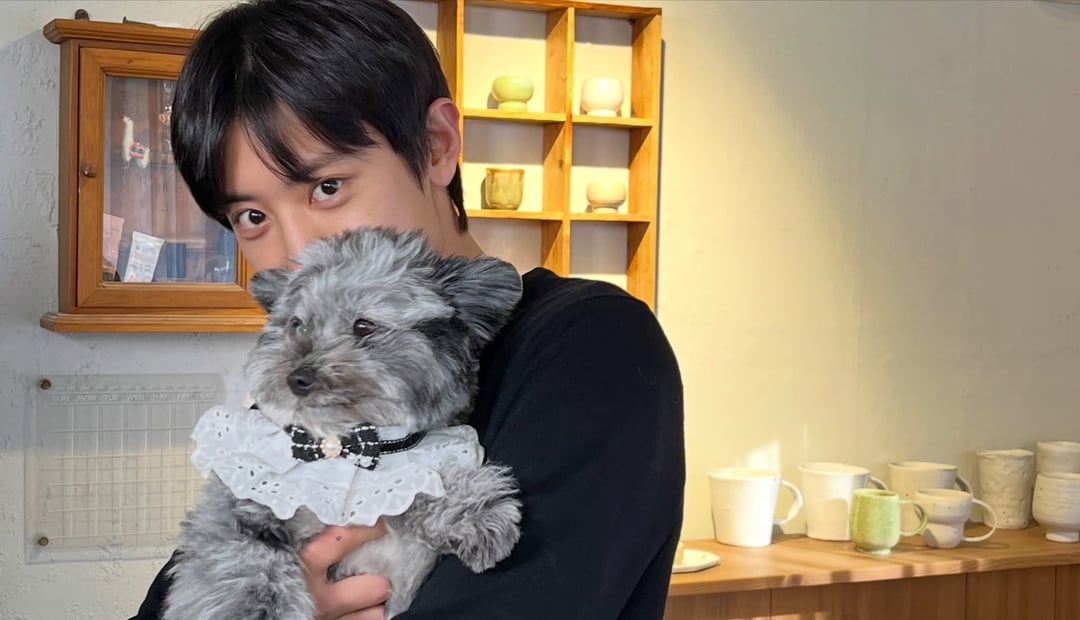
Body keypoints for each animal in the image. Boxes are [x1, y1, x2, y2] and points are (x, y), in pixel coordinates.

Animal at [163, 226, 525, 619]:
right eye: (296, 324)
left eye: (363, 325)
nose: (297, 378)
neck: (342, 444)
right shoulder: (237, 508)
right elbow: (244, 562)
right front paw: (255, 608)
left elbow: (436, 474)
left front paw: (475, 513)